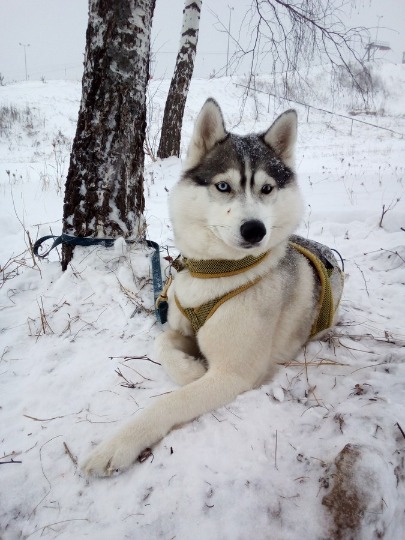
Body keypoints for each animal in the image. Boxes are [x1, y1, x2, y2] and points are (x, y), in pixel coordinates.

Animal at [83, 99, 342, 474]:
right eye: (223, 186)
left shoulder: (232, 375)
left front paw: (117, 445)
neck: (216, 272)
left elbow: (168, 403)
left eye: (267, 189)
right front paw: (190, 368)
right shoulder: (179, 326)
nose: (255, 230)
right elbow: (162, 343)